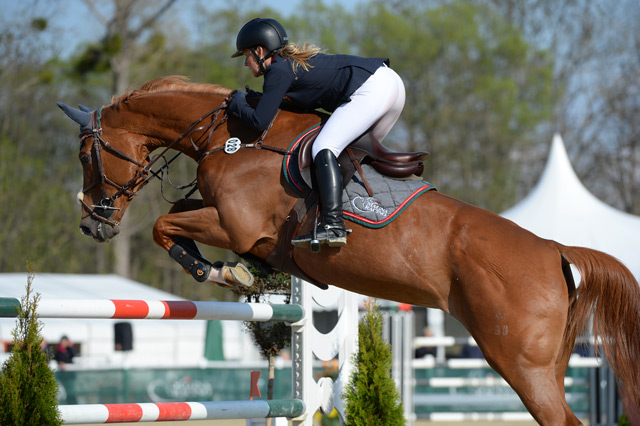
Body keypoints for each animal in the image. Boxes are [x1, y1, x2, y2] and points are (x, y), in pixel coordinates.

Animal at [57, 75, 636, 422]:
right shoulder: (225, 220)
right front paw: (243, 273)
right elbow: (176, 215)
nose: (91, 225)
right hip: (545, 365)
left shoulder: (234, 225)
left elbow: (163, 226)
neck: (235, 136)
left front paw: (224, 273)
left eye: (86, 154)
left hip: (521, 364)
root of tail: (554, 250)